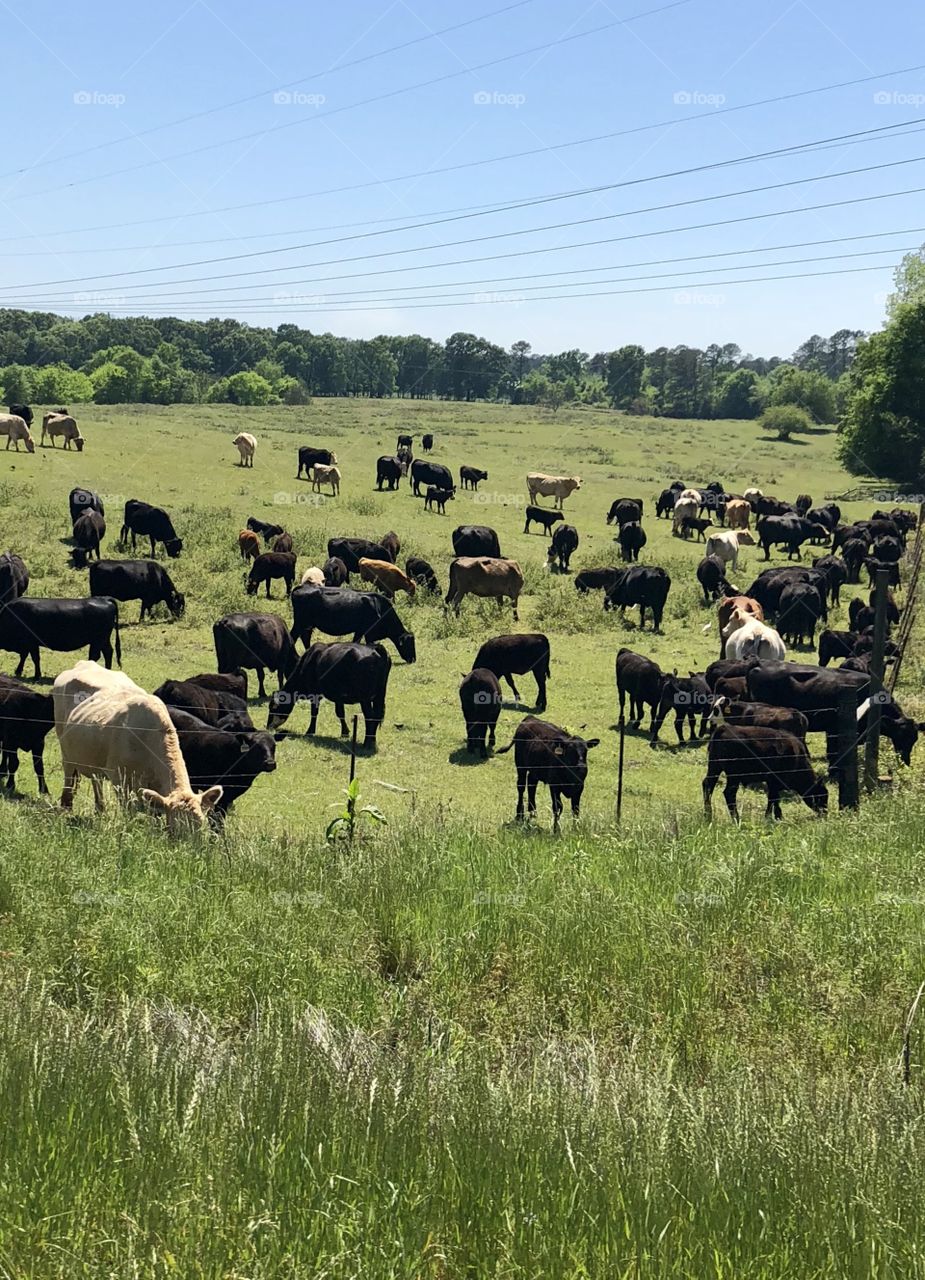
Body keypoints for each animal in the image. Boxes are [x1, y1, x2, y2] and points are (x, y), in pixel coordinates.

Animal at [53, 661, 222, 831]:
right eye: (174, 828)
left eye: (200, 827)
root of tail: (85, 663)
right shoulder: (120, 781)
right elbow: (129, 811)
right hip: (65, 750)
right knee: (69, 777)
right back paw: (66, 808)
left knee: (96, 780)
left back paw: (100, 809)